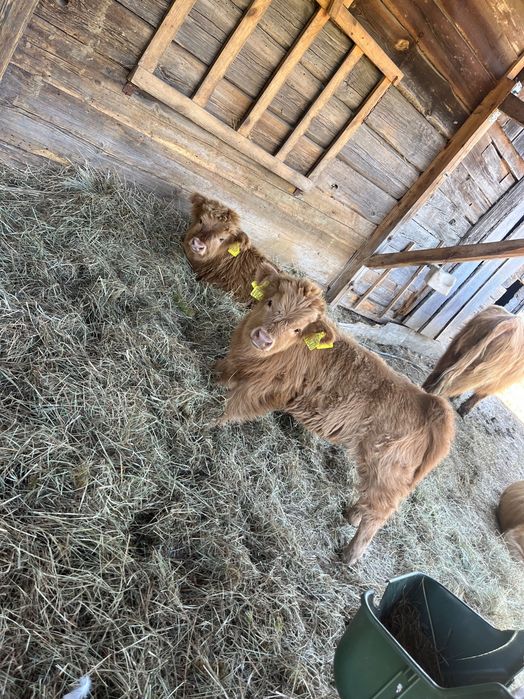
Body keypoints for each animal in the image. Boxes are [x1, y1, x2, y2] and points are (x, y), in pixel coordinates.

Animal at [214, 268, 455, 564]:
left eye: (297, 329)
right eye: (270, 303)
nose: (263, 339)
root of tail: (429, 402)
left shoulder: (265, 389)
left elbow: (234, 406)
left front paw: (210, 420)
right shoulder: (235, 365)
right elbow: (221, 372)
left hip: (387, 470)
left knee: (379, 510)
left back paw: (350, 554)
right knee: (370, 500)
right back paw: (352, 515)